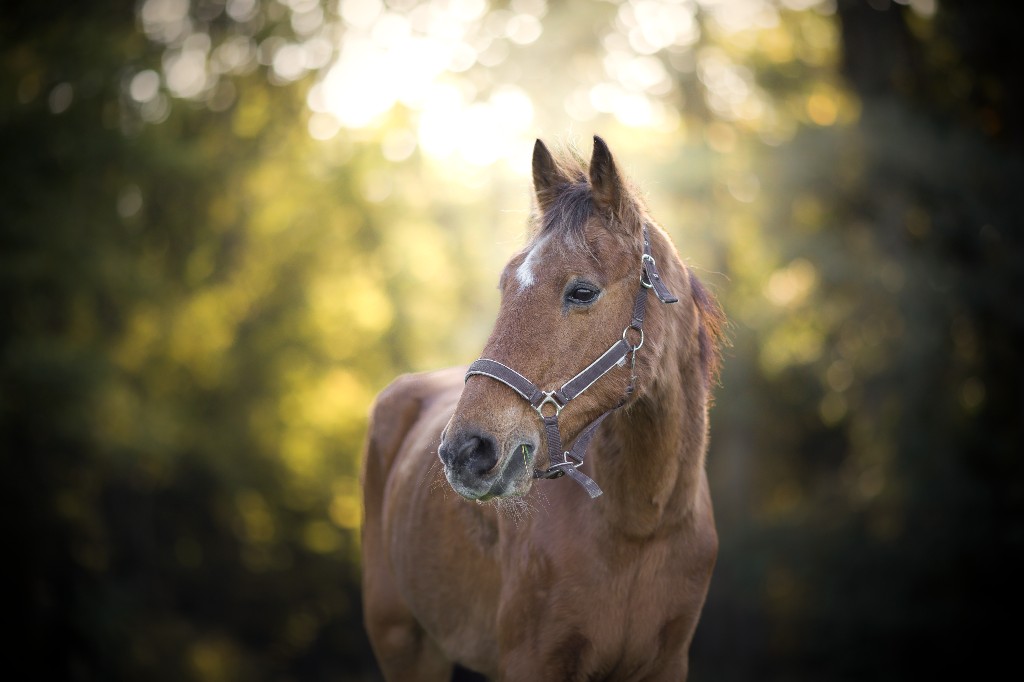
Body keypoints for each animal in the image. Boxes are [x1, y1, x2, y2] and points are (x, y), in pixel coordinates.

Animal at [364, 135, 724, 675]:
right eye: (506, 284)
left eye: (583, 291)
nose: (465, 451)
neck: (641, 525)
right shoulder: (531, 661)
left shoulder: (667, 664)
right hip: (403, 645)